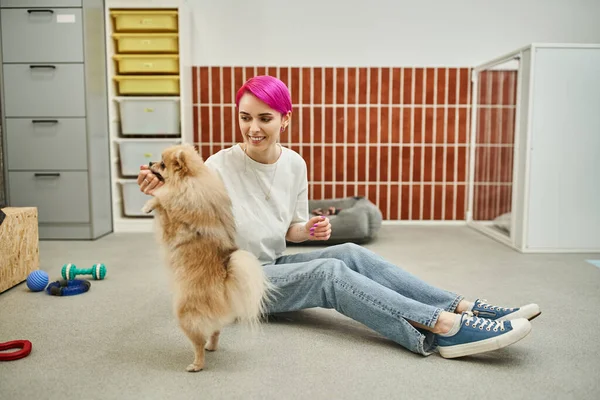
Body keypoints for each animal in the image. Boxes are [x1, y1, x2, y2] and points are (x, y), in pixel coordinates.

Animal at [142, 143, 276, 372]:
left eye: (162, 164)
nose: (150, 162)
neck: (191, 182)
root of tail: (224, 279)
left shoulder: (172, 217)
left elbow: (161, 200)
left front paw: (149, 204)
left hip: (185, 315)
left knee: (198, 342)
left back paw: (197, 364)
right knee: (216, 331)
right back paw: (211, 347)